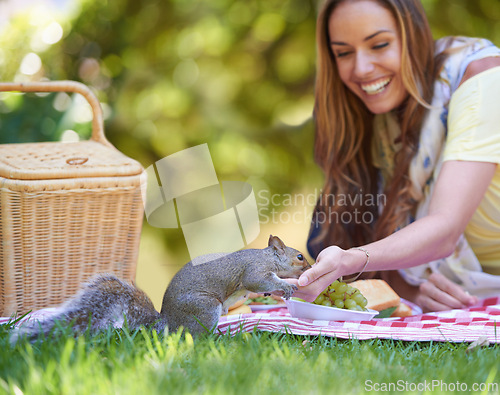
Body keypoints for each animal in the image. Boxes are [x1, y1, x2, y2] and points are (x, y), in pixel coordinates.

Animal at [10, 235, 308, 344]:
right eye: (299, 257)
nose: (309, 265)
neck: (269, 258)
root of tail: (165, 322)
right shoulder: (254, 270)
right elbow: (258, 281)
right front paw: (286, 287)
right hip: (205, 308)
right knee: (192, 336)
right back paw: (217, 339)